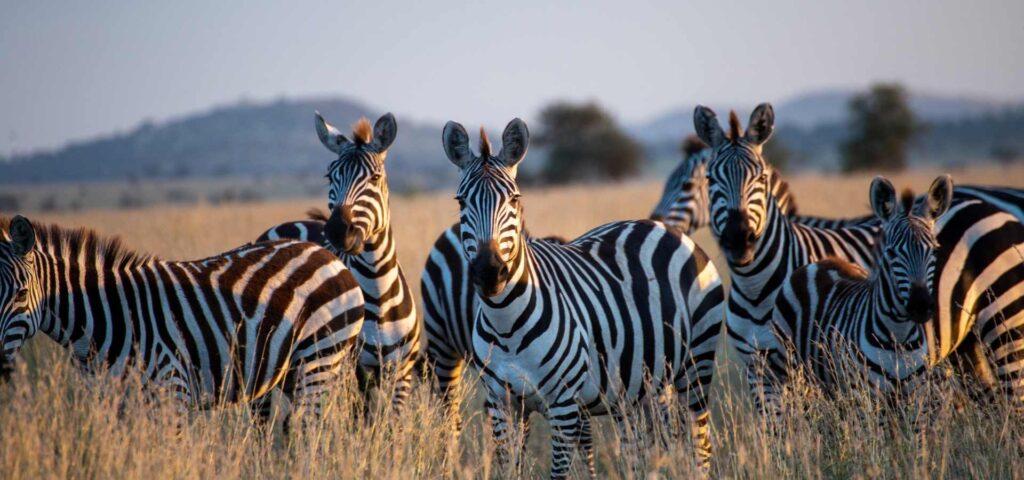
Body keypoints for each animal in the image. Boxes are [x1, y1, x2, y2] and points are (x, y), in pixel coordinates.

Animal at [0, 215, 365, 428]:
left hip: (318, 359)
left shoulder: (171, 392)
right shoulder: (110, 403)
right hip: (292, 371)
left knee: (313, 432)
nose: (0, 367)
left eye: (21, 293)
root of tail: (327, 254)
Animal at [257, 112, 420, 410]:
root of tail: (289, 224)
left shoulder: (401, 374)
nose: (337, 230)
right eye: (330, 176)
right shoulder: (352, 373)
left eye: (375, 177)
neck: (379, 291)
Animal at [441, 117, 725, 478]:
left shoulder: (563, 406)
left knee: (699, 446)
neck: (506, 324)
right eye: (461, 202)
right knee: (647, 450)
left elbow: (558, 472)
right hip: (644, 386)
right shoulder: (501, 405)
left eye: (515, 200)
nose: (490, 272)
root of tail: (665, 229)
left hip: (696, 364)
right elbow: (511, 469)